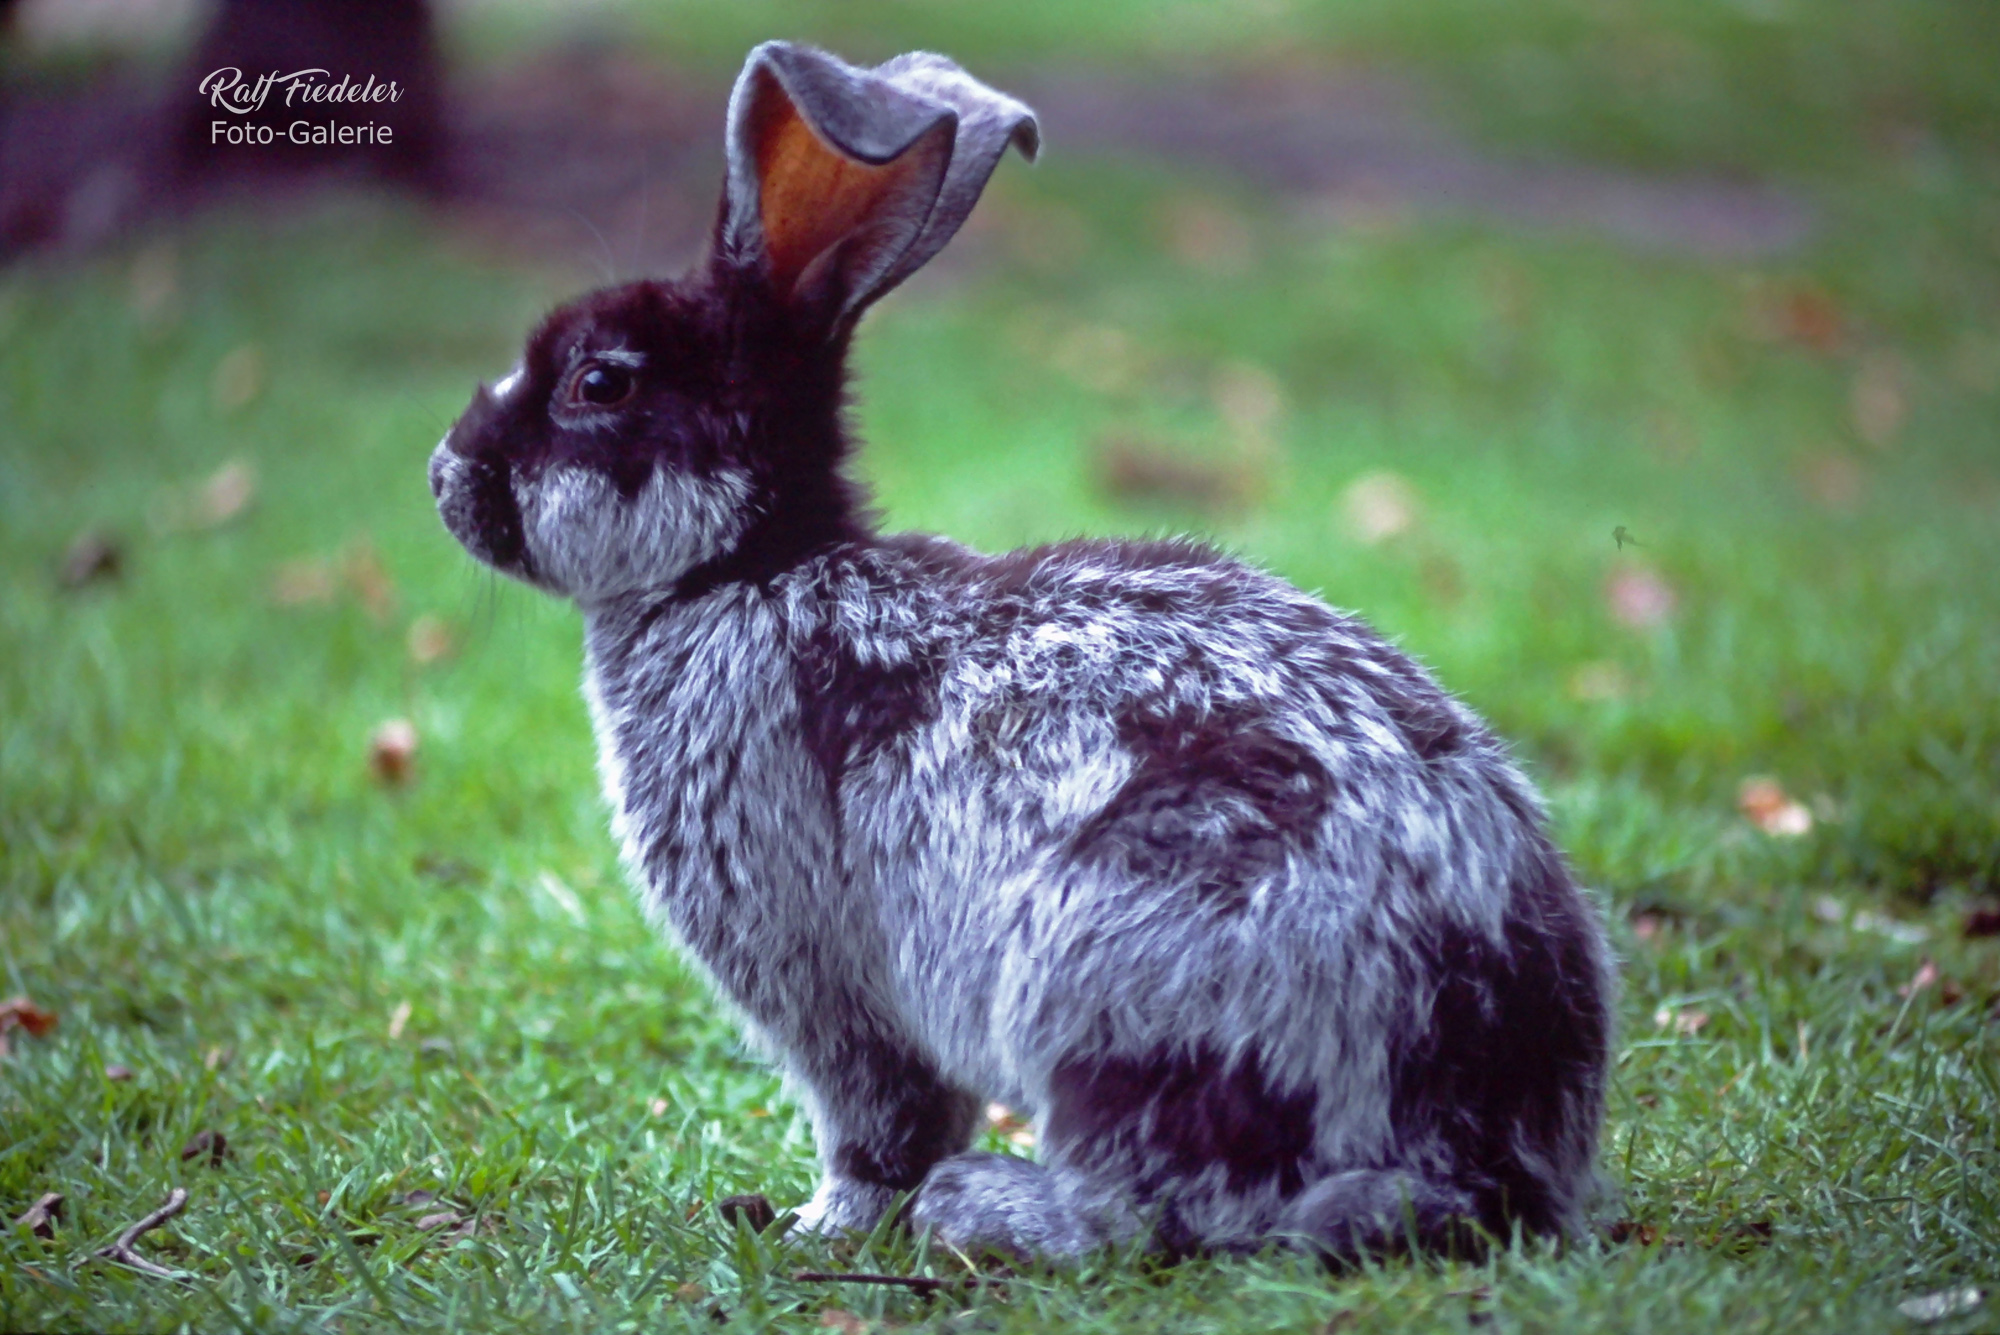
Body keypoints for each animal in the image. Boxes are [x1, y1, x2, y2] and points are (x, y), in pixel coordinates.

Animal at [428, 40, 1615, 1264]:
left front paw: (819, 1224)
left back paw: (984, 1204)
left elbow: (878, 1120)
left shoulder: (824, 978)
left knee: (1153, 1211)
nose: (447, 473)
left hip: (1121, 972)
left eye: (598, 383)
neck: (745, 568)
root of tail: (1469, 1144)